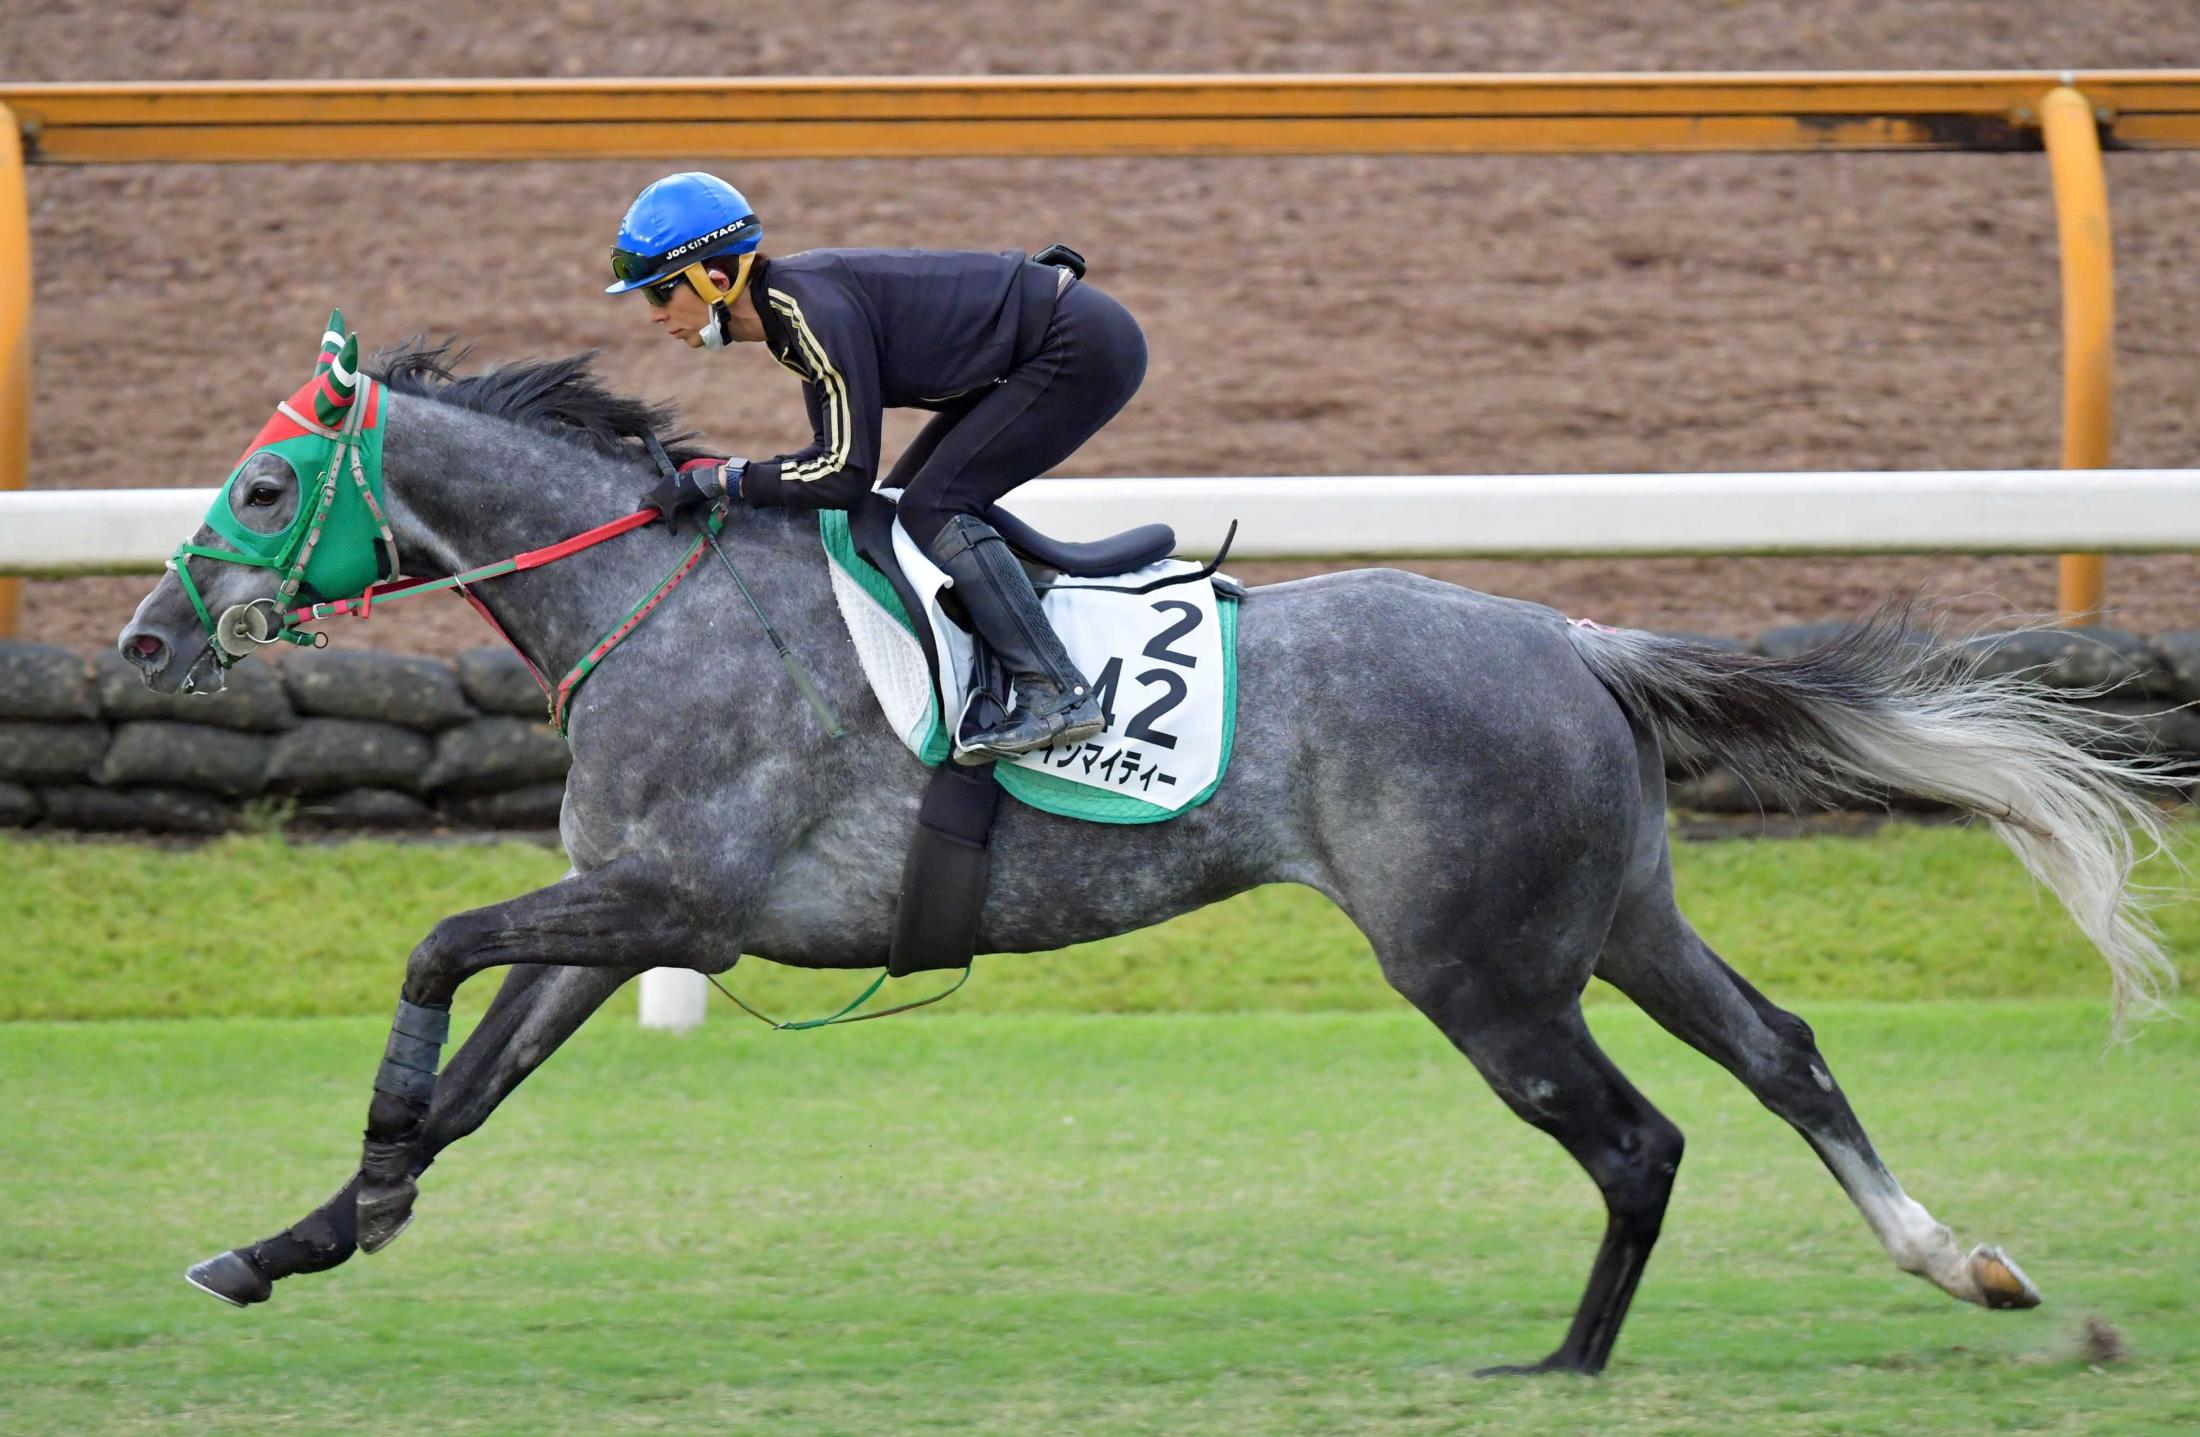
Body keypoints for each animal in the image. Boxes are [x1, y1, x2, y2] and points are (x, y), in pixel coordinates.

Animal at [111, 330, 2173, 1373]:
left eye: (266, 487)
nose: (139, 640)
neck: (652, 597)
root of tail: (1573, 634)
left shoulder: (671, 896)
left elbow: (436, 954)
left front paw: (366, 1176)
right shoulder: (632, 916)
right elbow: (480, 1071)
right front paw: (302, 1234)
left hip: (1480, 964)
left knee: (1636, 1137)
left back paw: (1564, 1367)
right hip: (1613, 918)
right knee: (1784, 1055)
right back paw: (1960, 1264)